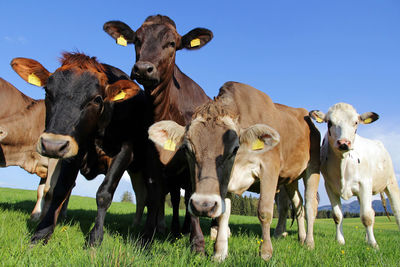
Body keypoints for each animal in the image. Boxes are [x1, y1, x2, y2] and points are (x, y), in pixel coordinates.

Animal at [11, 52, 152, 247]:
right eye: (47, 91)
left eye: (97, 99)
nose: (52, 144)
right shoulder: (71, 152)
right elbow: (60, 189)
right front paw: (42, 233)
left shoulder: (124, 152)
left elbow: (104, 193)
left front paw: (95, 237)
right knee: (141, 194)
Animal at [104, 14, 214, 253]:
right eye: (137, 39)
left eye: (172, 43)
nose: (144, 68)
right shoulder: (151, 158)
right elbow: (154, 196)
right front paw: (147, 237)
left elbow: (193, 194)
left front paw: (198, 243)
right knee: (175, 197)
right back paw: (175, 230)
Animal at [148, 82, 320, 262]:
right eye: (187, 149)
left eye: (234, 149)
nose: (203, 205)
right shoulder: (226, 181)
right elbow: (223, 213)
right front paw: (219, 253)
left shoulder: (269, 167)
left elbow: (264, 211)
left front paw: (265, 253)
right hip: (290, 178)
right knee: (298, 204)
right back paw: (301, 238)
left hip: (313, 167)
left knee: (310, 205)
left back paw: (309, 243)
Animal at [310, 103, 400, 249]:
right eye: (330, 123)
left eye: (356, 122)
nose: (343, 143)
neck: (343, 164)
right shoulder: (330, 187)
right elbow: (337, 216)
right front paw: (340, 240)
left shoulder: (365, 184)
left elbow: (366, 217)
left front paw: (373, 244)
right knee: (372, 211)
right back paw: (366, 238)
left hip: (390, 182)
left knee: (395, 210)